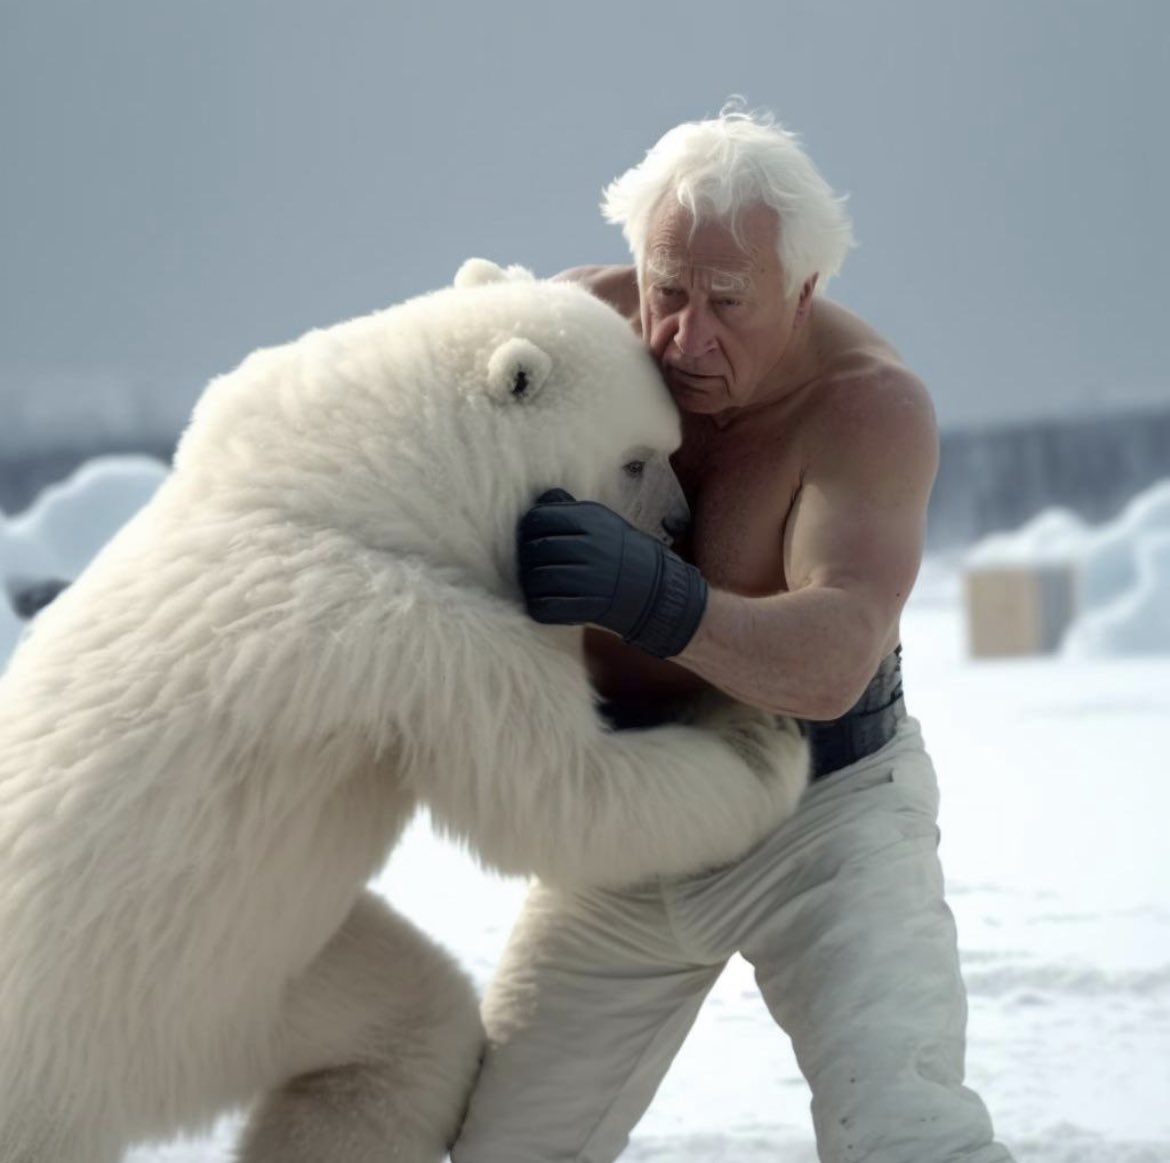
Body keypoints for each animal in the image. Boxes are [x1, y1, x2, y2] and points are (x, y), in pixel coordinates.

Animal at [0, 259, 809, 1163]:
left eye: (672, 446)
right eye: (637, 459)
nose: (675, 524)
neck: (355, 492)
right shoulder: (411, 634)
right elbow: (563, 790)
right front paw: (759, 734)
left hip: (236, 997)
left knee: (405, 1027)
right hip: (93, 1035)